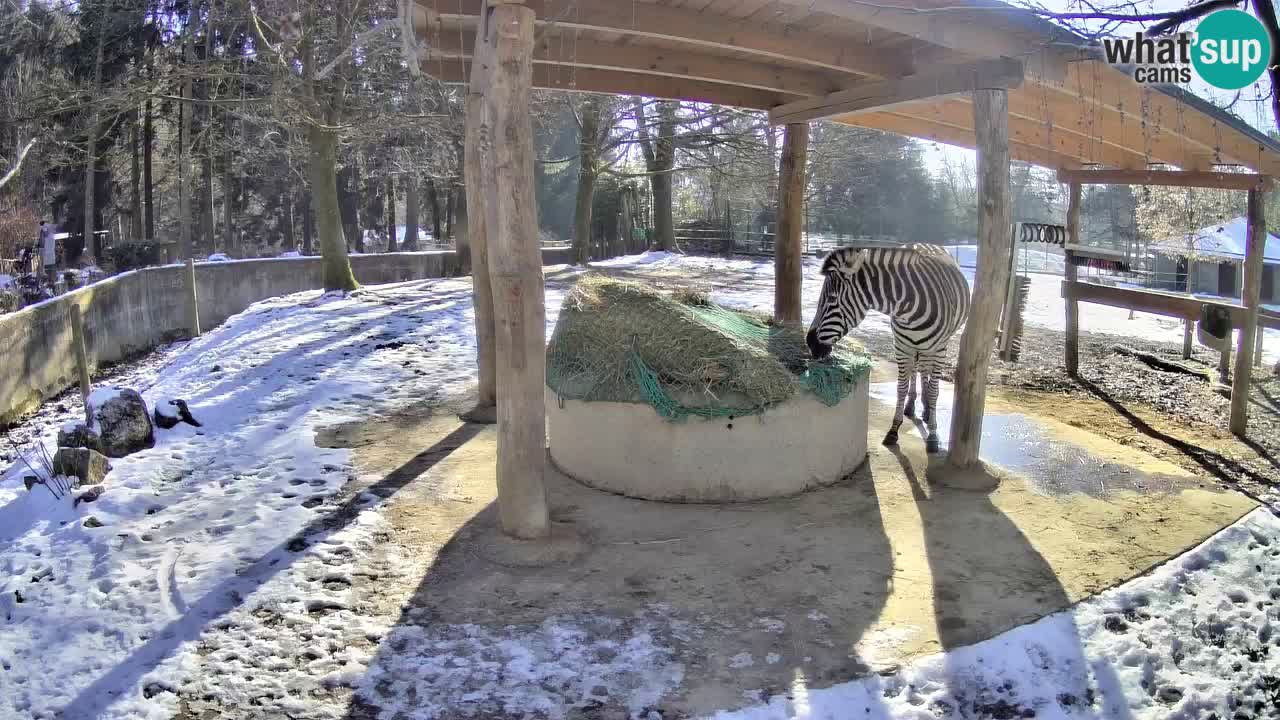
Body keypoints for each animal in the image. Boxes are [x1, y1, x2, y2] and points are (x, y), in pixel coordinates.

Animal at [803, 243, 972, 450]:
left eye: (832, 299)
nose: (810, 342)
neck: (907, 307)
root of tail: (927, 244)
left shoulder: (940, 349)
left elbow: (934, 391)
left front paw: (933, 434)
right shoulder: (901, 346)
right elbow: (901, 388)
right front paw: (893, 430)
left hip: (933, 346)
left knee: (926, 370)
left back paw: (926, 410)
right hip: (913, 345)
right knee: (918, 369)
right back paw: (913, 405)